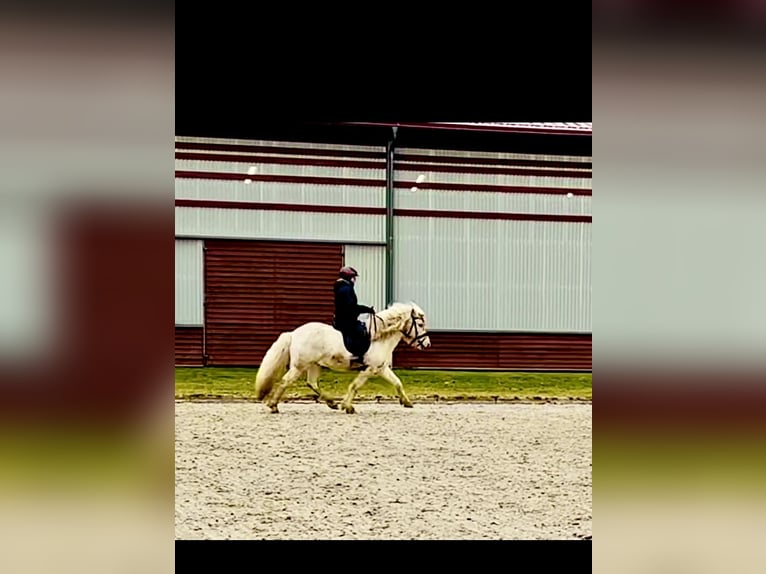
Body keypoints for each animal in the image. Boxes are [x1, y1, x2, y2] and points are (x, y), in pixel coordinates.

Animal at [254, 302, 428, 414]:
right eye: (420, 325)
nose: (427, 344)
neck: (379, 337)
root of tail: (294, 333)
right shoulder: (369, 369)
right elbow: (355, 386)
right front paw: (348, 407)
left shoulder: (381, 368)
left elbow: (397, 383)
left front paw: (406, 402)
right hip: (299, 366)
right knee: (286, 382)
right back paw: (273, 406)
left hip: (314, 365)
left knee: (312, 383)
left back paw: (331, 403)